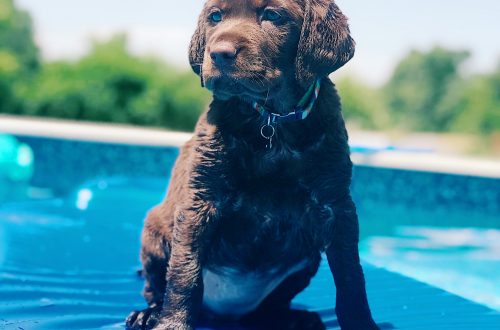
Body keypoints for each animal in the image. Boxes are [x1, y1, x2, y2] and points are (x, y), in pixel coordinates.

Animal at [126, 0, 378, 330]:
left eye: (272, 15)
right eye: (215, 16)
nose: (219, 53)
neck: (271, 121)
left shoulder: (336, 205)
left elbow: (351, 278)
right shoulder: (201, 200)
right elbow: (185, 275)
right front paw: (172, 324)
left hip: (306, 259)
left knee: (269, 308)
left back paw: (296, 318)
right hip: (154, 231)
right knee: (157, 286)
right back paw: (148, 314)